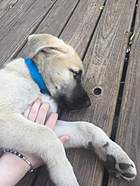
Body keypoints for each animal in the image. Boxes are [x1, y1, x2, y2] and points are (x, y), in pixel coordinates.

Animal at [0, 34, 137, 185]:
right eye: (76, 74)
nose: (88, 103)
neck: (35, 79)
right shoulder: (5, 117)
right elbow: (47, 135)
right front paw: (66, 177)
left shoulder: (48, 121)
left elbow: (85, 127)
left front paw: (113, 153)